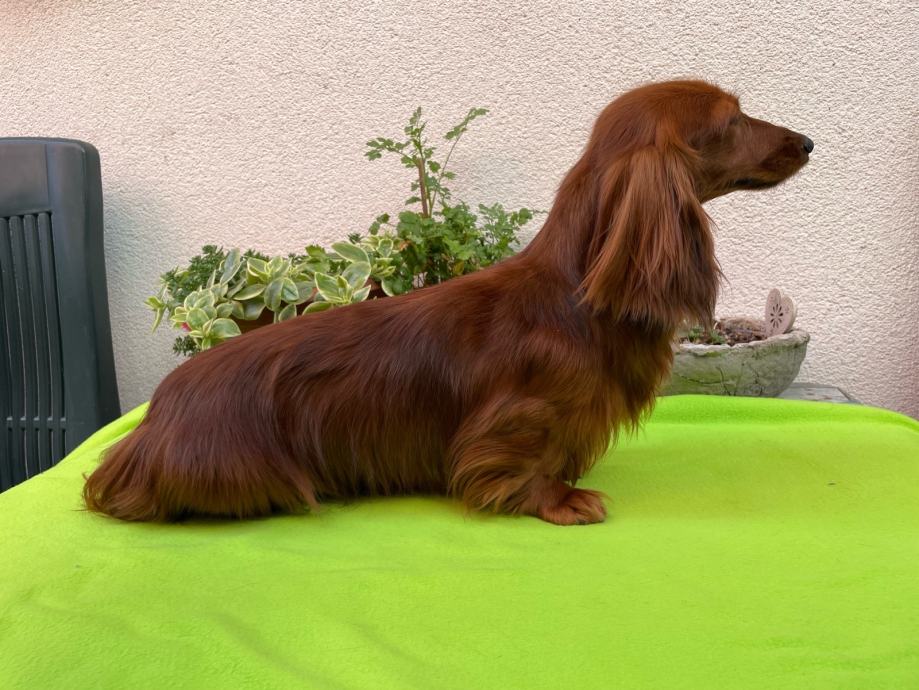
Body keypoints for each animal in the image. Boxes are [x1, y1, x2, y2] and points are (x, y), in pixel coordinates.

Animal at [84, 80, 812, 525]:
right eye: (729, 121)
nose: (807, 141)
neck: (572, 299)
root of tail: (149, 424)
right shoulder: (522, 417)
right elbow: (526, 461)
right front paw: (560, 501)